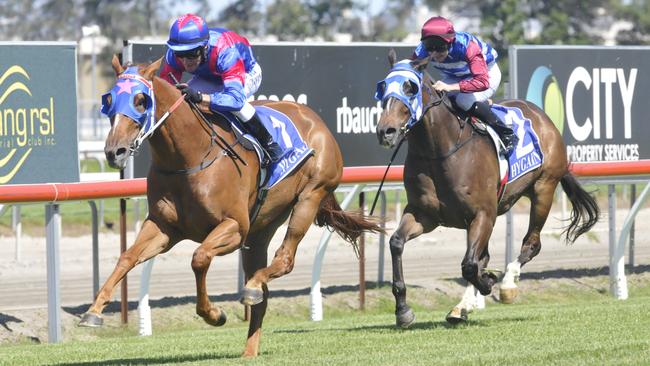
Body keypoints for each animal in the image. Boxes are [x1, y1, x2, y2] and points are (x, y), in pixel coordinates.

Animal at [78, 57, 380, 358]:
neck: (190, 156)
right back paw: (249, 347)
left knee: (284, 259)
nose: (114, 152)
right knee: (262, 295)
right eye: (109, 100)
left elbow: (199, 257)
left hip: (311, 195)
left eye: (141, 100)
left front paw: (213, 314)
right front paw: (93, 311)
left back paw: (252, 287)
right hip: (260, 230)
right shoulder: (164, 228)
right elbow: (127, 257)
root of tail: (315, 119)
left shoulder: (234, 227)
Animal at [374, 51, 596, 326]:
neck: (440, 150)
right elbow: (396, 243)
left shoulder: (482, 214)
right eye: (383, 87)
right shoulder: (424, 215)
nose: (386, 131)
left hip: (543, 189)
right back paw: (462, 306)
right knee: (485, 255)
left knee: (531, 244)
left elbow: (470, 265)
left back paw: (507, 285)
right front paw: (403, 310)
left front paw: (490, 282)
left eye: (410, 87)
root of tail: (542, 117)